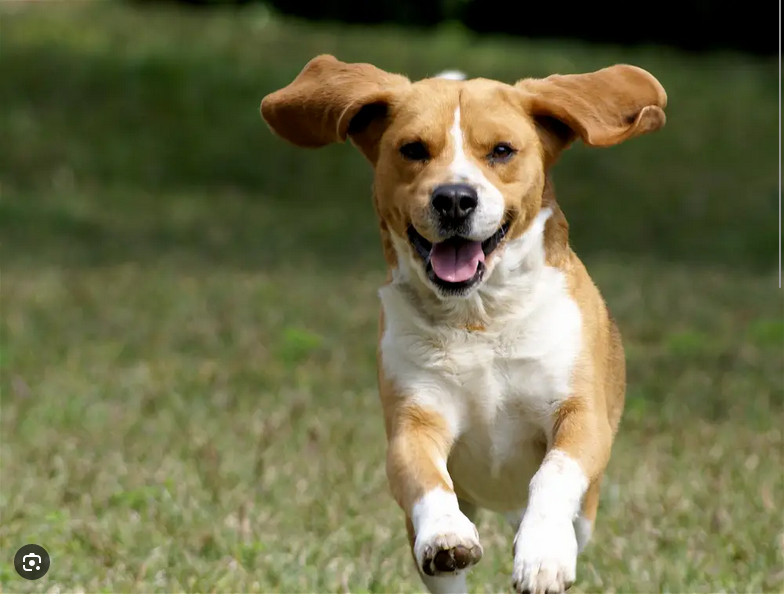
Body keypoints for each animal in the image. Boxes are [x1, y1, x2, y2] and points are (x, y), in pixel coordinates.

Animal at [260, 56, 664, 592]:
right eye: (413, 149)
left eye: (501, 150)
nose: (454, 198)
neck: (480, 319)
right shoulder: (414, 419)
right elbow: (425, 477)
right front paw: (445, 535)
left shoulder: (580, 414)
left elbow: (554, 472)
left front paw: (543, 553)